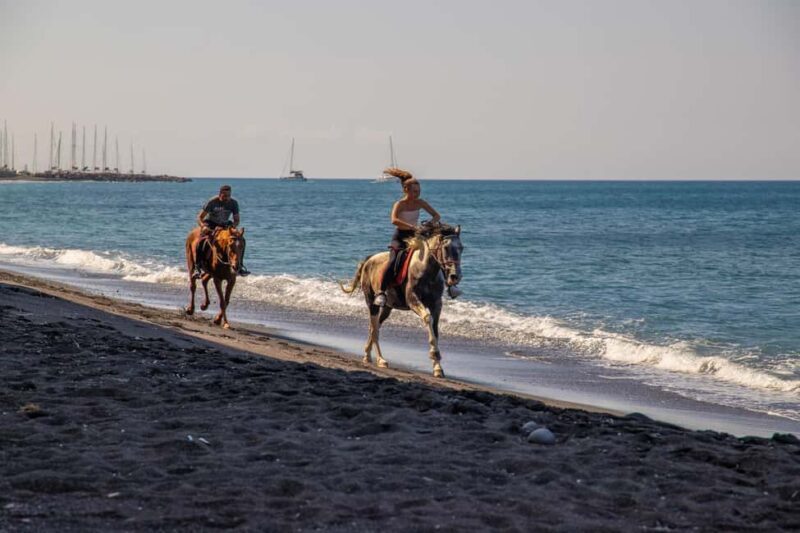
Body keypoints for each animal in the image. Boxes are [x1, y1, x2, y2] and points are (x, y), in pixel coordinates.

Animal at [340, 222, 463, 378]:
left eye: (461, 248)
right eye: (446, 248)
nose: (455, 276)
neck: (426, 270)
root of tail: (369, 260)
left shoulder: (436, 304)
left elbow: (435, 329)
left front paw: (437, 367)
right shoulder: (413, 300)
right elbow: (427, 319)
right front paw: (434, 355)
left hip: (387, 307)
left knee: (374, 327)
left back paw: (367, 355)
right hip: (371, 302)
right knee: (374, 329)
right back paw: (381, 360)